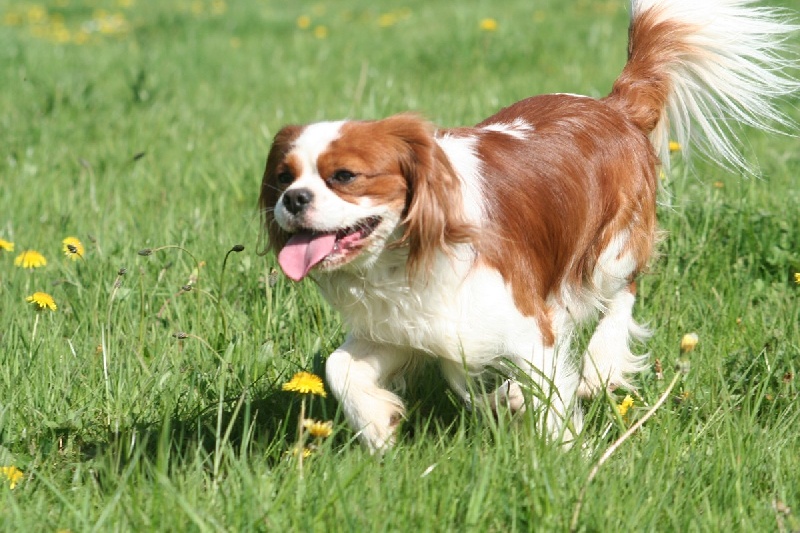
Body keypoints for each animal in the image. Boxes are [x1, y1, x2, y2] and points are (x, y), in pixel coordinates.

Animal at [260, 0, 796, 450]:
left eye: (344, 177)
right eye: (283, 177)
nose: (293, 199)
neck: (405, 254)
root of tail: (612, 106)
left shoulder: (524, 322)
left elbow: (551, 399)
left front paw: (564, 457)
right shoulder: (408, 325)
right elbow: (341, 367)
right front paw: (377, 424)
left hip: (610, 250)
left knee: (624, 290)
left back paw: (599, 366)